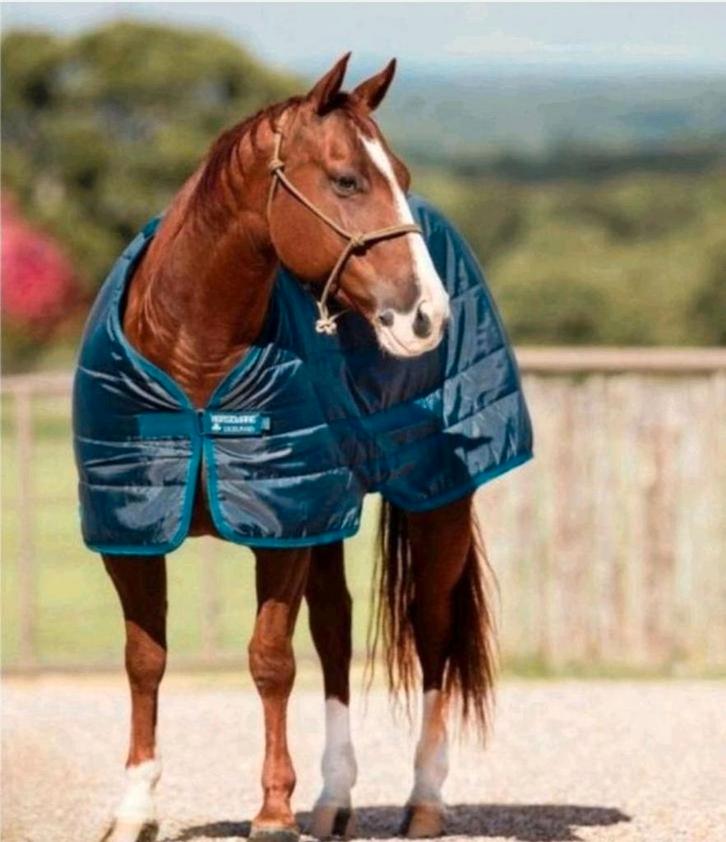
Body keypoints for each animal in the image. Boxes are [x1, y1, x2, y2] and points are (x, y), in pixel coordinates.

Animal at [91, 54, 499, 842]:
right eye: (345, 180)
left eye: (400, 173)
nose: (427, 315)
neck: (195, 362)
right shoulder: (133, 529)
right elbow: (144, 660)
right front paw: (133, 807)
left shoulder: (280, 529)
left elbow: (271, 660)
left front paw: (274, 810)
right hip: (326, 519)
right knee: (336, 633)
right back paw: (334, 799)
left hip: (436, 507)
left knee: (431, 636)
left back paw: (423, 801)